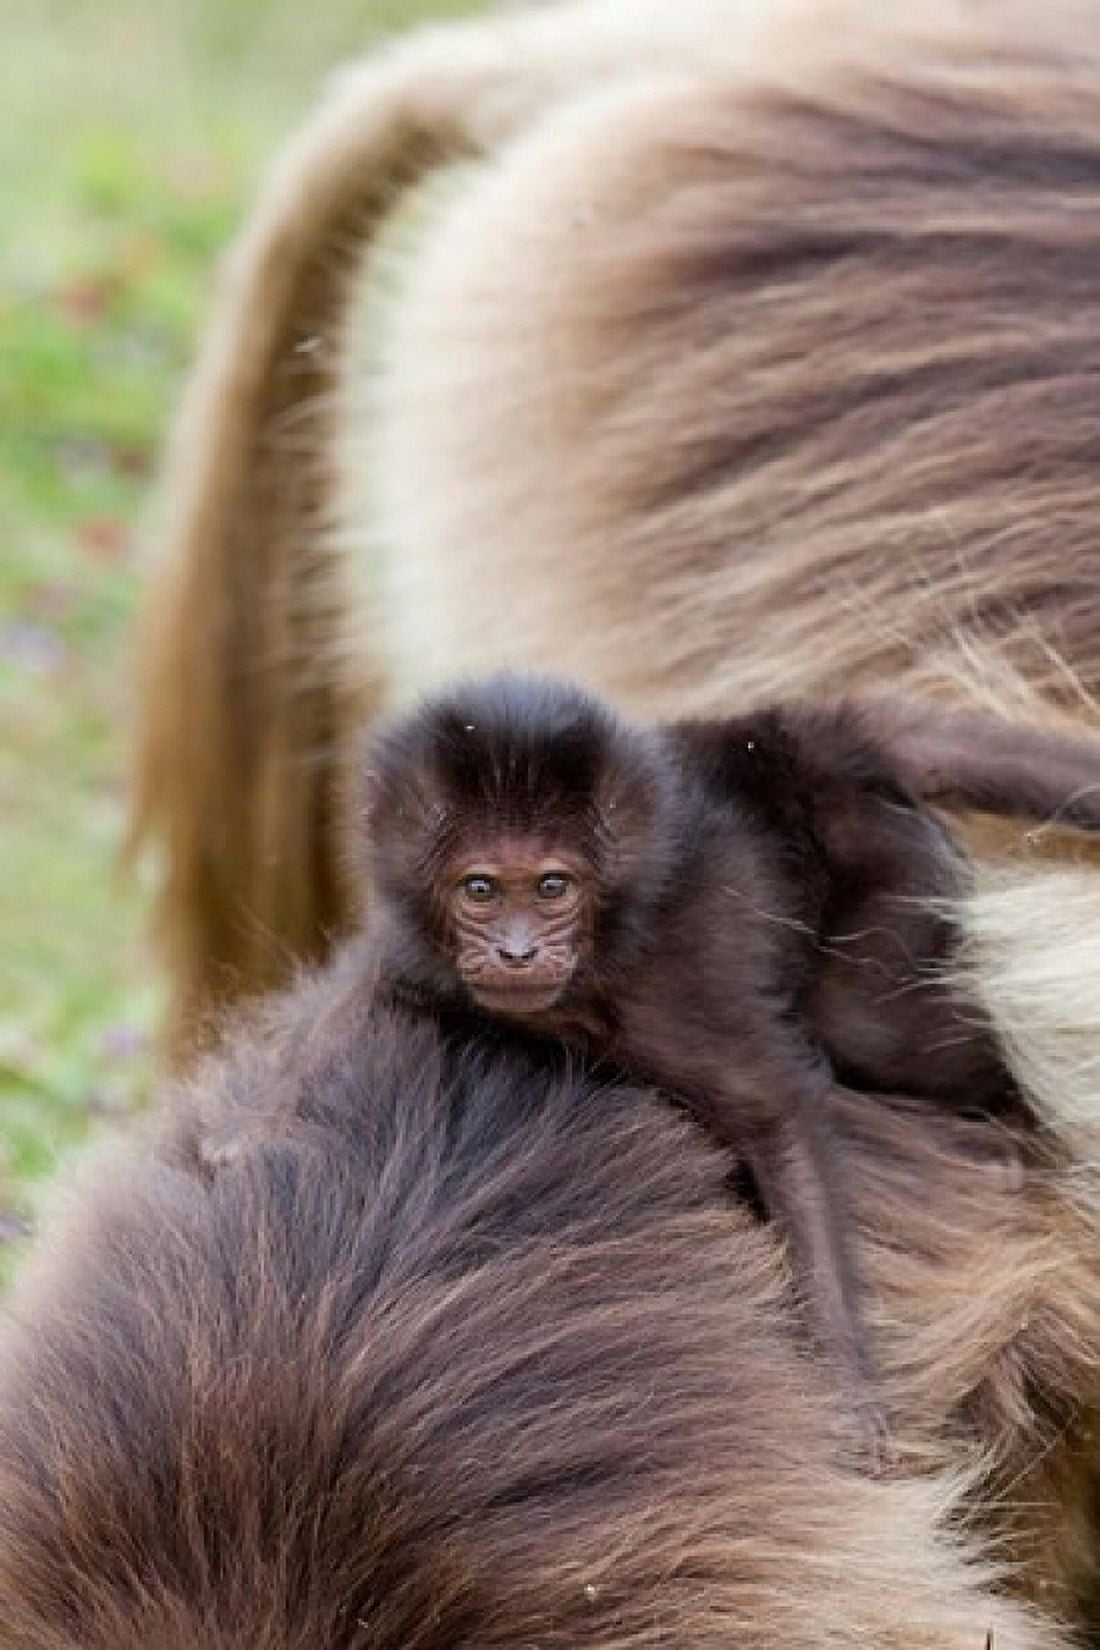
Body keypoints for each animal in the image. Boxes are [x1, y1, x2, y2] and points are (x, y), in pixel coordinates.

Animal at [361, 673, 1100, 1454]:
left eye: (552, 887)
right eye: (479, 889)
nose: (516, 952)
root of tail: (805, 733)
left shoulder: (668, 983)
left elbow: (775, 1114)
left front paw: (847, 1381)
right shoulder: (416, 957)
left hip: (876, 850)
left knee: (869, 1028)